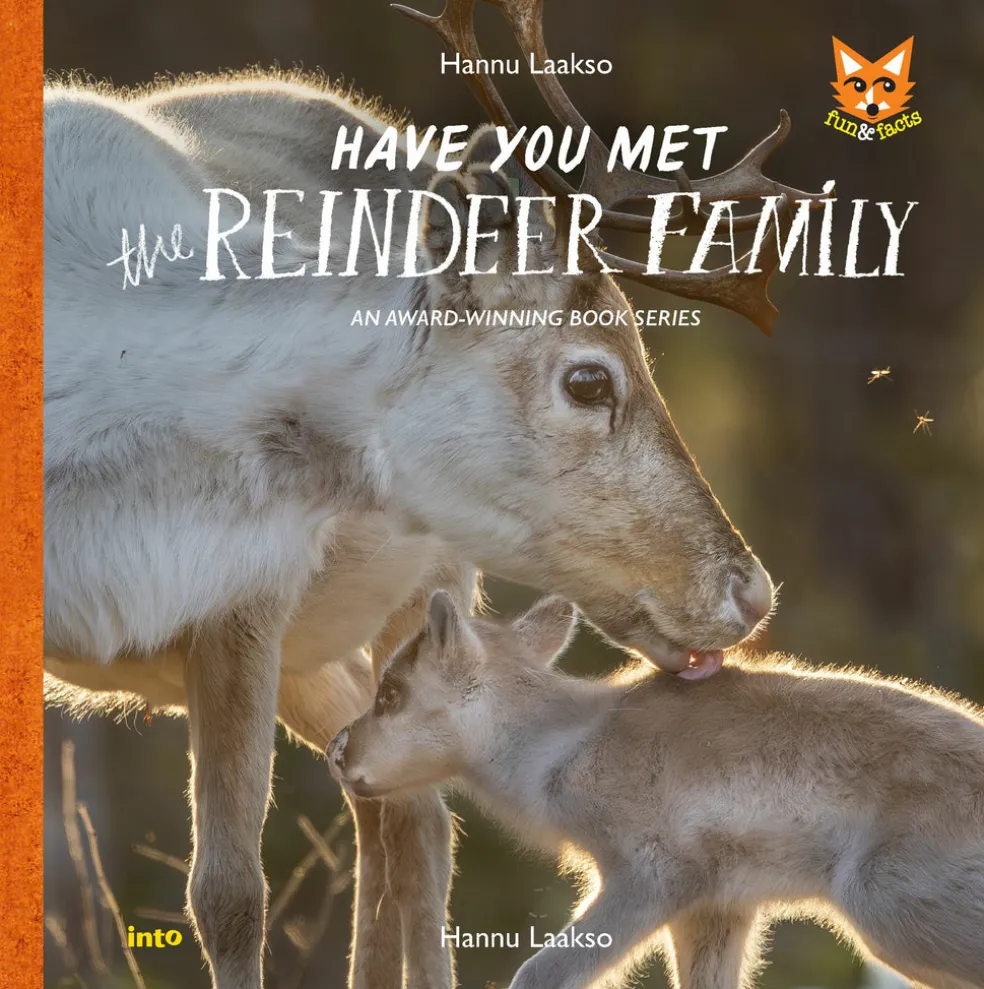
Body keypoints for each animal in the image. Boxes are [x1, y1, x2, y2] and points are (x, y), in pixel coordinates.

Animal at [42, 0, 823, 986]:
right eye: (589, 379)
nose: (749, 590)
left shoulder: (246, 597)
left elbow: (228, 890)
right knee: (383, 800)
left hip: (422, 588)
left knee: (418, 822)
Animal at [330, 592, 984, 989]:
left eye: (390, 694)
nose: (338, 752)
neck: (561, 747)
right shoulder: (718, 910)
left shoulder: (653, 877)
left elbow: (539, 973)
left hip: (882, 904)